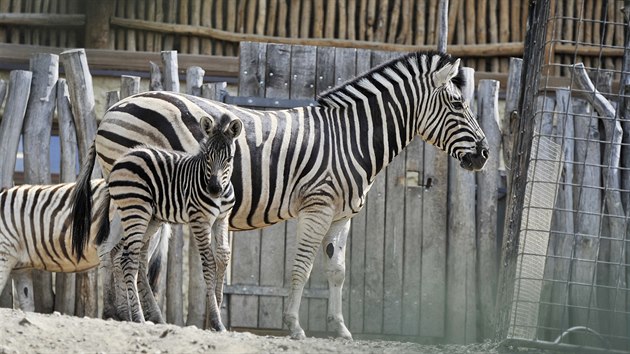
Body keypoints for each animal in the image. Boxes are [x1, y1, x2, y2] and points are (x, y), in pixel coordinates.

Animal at [74, 113, 242, 330]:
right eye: (207, 156)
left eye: (229, 158)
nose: (214, 189)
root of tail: (124, 157)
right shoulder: (199, 220)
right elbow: (209, 263)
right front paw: (215, 319)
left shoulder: (222, 219)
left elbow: (223, 256)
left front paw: (218, 311)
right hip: (137, 211)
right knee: (128, 259)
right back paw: (138, 317)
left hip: (136, 216)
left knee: (114, 253)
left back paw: (123, 314)